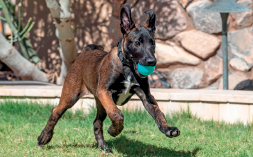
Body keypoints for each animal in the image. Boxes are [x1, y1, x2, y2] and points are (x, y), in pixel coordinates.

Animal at [37, 3, 180, 153]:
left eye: (153, 43)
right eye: (137, 43)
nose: (152, 61)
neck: (128, 68)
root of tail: (85, 52)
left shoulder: (145, 95)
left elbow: (158, 112)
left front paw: (167, 128)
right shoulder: (105, 91)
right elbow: (117, 113)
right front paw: (114, 130)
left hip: (100, 103)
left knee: (96, 122)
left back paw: (103, 147)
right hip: (71, 95)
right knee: (56, 111)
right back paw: (44, 137)